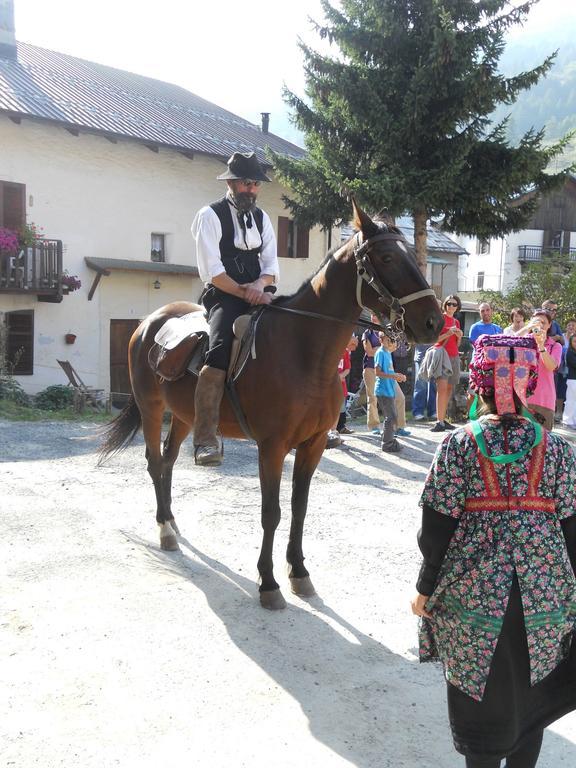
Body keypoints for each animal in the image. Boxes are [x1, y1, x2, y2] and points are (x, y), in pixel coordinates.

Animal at [100, 201, 440, 608]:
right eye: (387, 257)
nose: (434, 322)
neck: (304, 352)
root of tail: (149, 322)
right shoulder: (272, 447)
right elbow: (271, 513)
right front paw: (268, 582)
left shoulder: (312, 445)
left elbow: (299, 509)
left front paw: (299, 573)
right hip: (151, 408)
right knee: (154, 462)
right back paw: (165, 530)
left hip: (184, 416)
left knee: (167, 460)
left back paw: (172, 521)